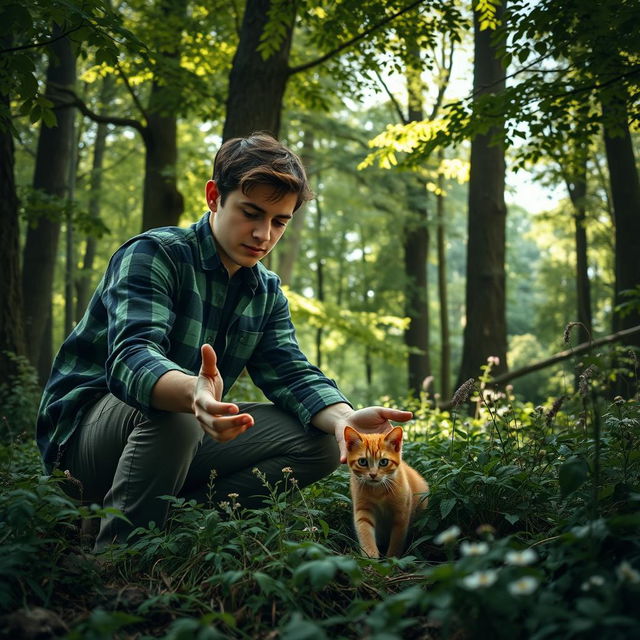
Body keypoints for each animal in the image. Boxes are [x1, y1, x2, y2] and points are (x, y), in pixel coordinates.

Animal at [342, 428, 428, 556]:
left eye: (383, 462)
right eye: (362, 462)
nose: (373, 475)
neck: (378, 490)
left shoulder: (401, 513)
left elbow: (397, 538)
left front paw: (392, 557)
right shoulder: (362, 509)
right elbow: (364, 531)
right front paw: (370, 554)